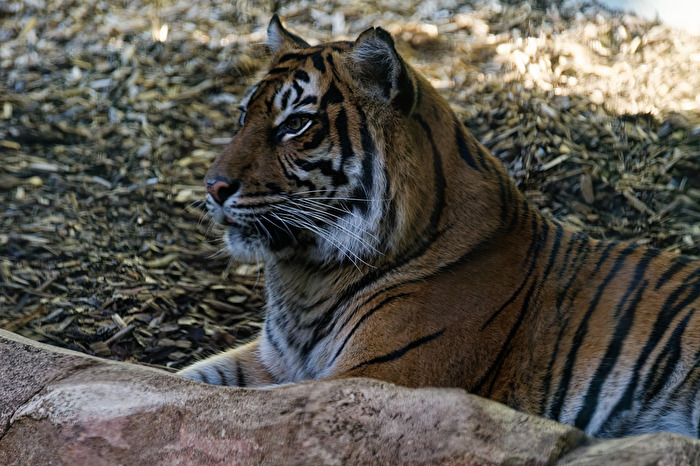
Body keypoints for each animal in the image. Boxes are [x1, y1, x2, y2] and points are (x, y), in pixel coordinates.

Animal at [178, 15, 700, 439]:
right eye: (243, 116)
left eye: (296, 124)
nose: (212, 186)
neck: (307, 277)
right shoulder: (270, 361)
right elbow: (185, 383)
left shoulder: (378, 378)